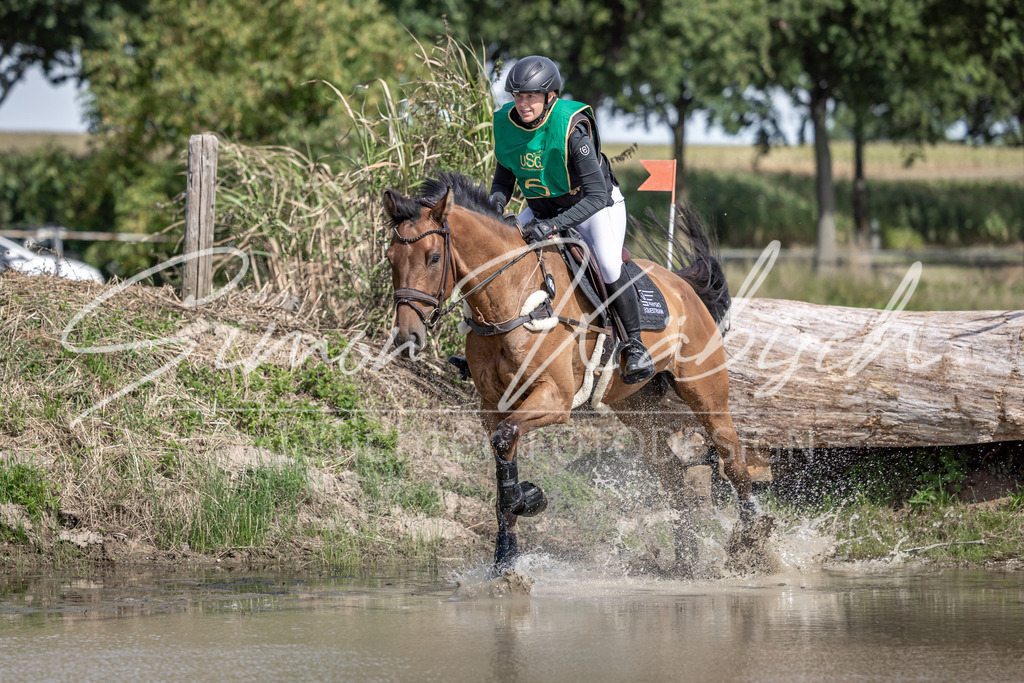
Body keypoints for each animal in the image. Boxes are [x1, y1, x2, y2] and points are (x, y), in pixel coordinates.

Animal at [383, 171, 765, 575]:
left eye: (433, 257)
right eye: (390, 258)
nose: (407, 338)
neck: (511, 299)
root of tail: (683, 288)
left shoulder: (555, 398)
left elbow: (508, 441)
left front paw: (528, 500)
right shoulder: (493, 407)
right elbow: (504, 459)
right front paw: (506, 554)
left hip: (706, 394)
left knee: (734, 461)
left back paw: (752, 540)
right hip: (636, 409)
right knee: (673, 476)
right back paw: (686, 560)